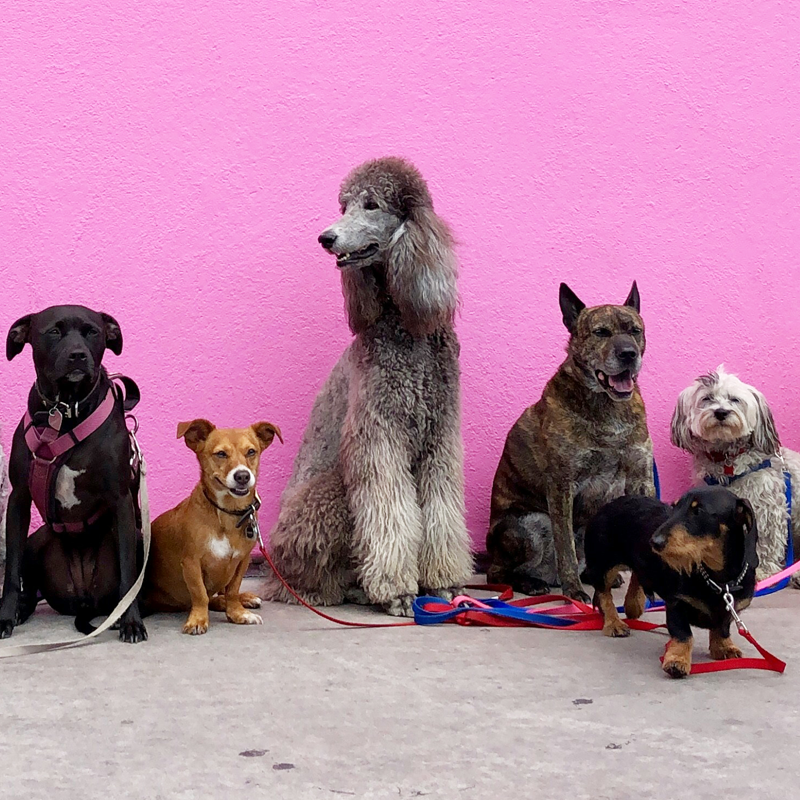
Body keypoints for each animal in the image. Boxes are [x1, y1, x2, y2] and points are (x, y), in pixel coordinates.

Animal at [0, 306, 148, 644]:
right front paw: (5, 617)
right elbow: (11, 571)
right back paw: (22, 609)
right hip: (37, 539)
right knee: (28, 584)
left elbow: (128, 574)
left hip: (137, 536)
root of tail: (83, 599)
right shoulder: (18, 498)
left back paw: (118, 618)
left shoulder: (121, 499)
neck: (66, 412)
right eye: (54, 331)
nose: (78, 355)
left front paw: (131, 622)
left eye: (92, 331)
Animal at [144, 418, 282, 636]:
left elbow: (232, 590)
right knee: (210, 598)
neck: (227, 513)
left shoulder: (243, 560)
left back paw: (244, 599)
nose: (243, 475)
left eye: (251, 452)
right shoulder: (191, 563)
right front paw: (198, 620)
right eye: (221, 454)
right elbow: (200, 594)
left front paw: (237, 613)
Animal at [484, 282, 652, 600]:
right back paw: (530, 583)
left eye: (635, 330)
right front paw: (573, 590)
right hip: (529, 524)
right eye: (601, 332)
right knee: (497, 573)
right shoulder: (562, 484)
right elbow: (566, 549)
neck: (607, 406)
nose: (628, 353)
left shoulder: (641, 476)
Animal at [580, 484, 756, 680]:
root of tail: (610, 503)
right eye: (675, 507)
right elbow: (684, 635)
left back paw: (634, 604)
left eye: (698, 511)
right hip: (604, 564)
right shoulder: (676, 604)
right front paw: (677, 661)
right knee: (603, 593)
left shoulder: (731, 608)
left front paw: (724, 646)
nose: (654, 542)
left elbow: (722, 627)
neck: (718, 580)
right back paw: (613, 623)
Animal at [672, 368, 796, 580]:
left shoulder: (767, 508)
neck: (726, 460)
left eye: (734, 399)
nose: (721, 412)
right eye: (707, 398)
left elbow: (766, 541)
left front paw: (762, 570)